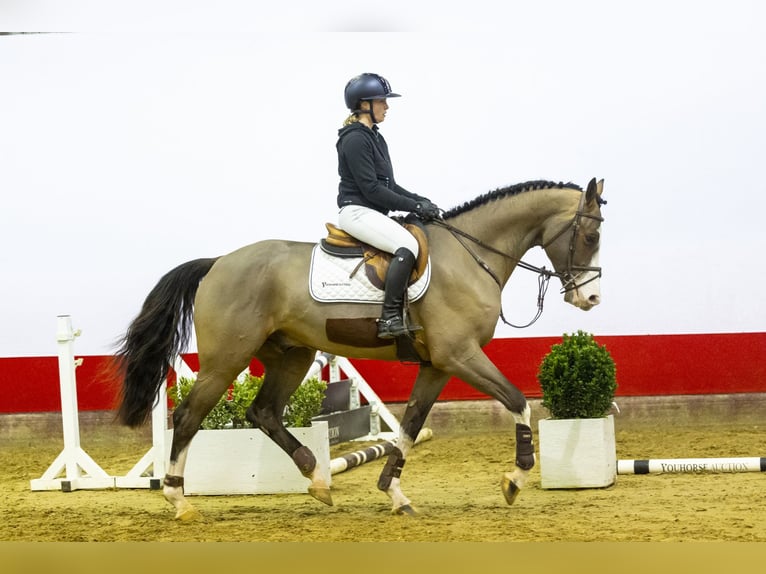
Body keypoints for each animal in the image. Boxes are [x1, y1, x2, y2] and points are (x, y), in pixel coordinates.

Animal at [115, 178, 608, 520]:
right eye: (590, 237)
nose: (590, 299)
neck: (470, 257)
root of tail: (217, 262)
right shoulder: (460, 356)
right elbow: (519, 401)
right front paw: (515, 478)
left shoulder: (437, 365)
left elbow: (409, 427)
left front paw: (395, 494)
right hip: (226, 360)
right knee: (188, 417)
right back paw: (180, 501)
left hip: (293, 355)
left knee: (264, 412)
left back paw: (317, 478)